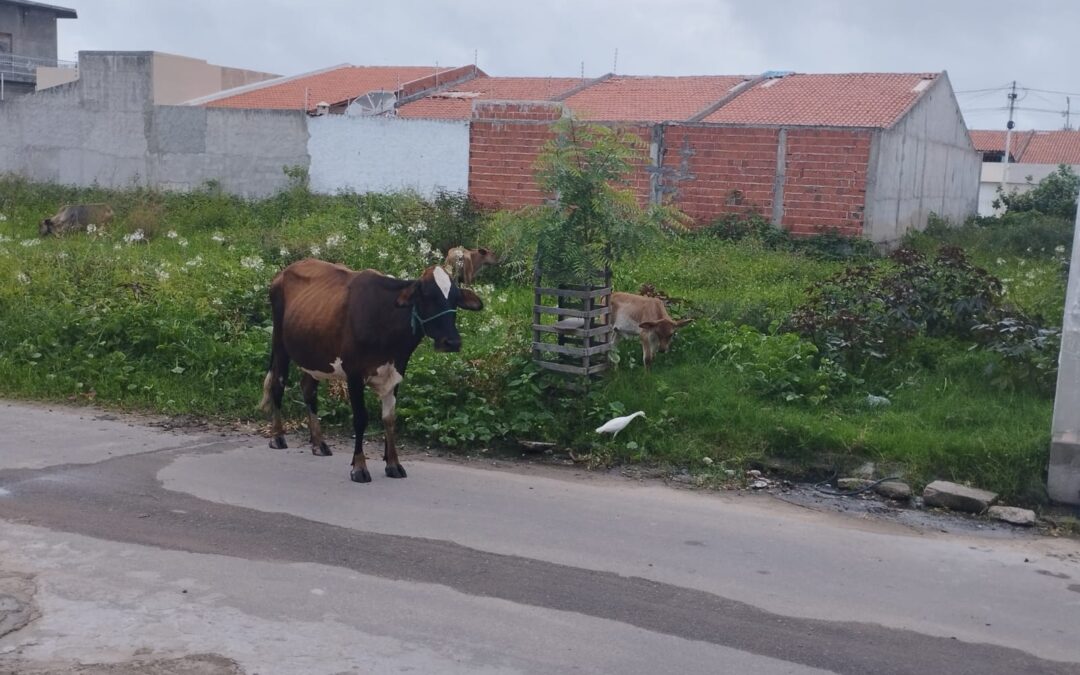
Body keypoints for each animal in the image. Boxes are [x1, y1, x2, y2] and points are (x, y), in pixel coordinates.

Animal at [259, 254, 483, 481]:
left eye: (455, 298)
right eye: (427, 295)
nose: (452, 342)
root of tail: (284, 271)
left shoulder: (396, 372)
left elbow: (389, 418)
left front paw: (393, 464)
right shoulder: (354, 374)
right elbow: (360, 418)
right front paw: (359, 467)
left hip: (313, 354)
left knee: (308, 389)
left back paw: (318, 443)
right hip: (280, 344)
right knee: (278, 384)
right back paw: (277, 437)